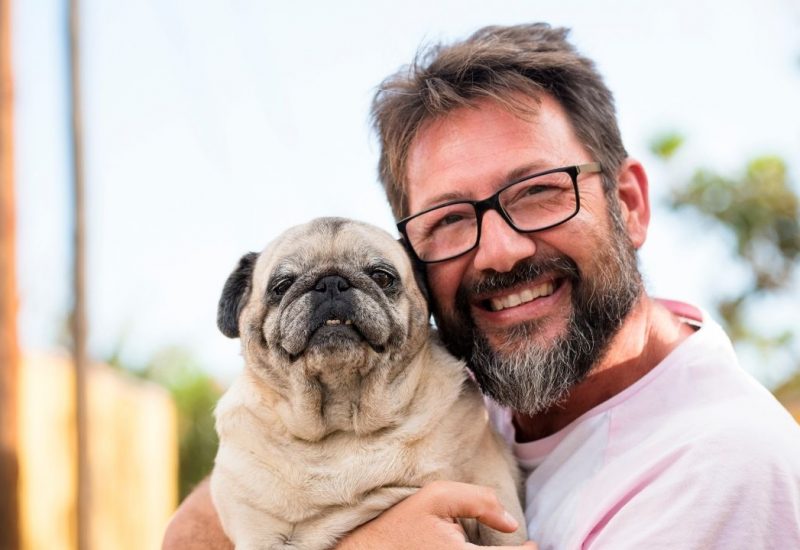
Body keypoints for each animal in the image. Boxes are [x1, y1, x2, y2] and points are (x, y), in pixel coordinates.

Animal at [209, 218, 528, 548]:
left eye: (381, 277)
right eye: (282, 286)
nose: (331, 283)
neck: (341, 427)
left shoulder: (493, 501)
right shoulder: (261, 536)